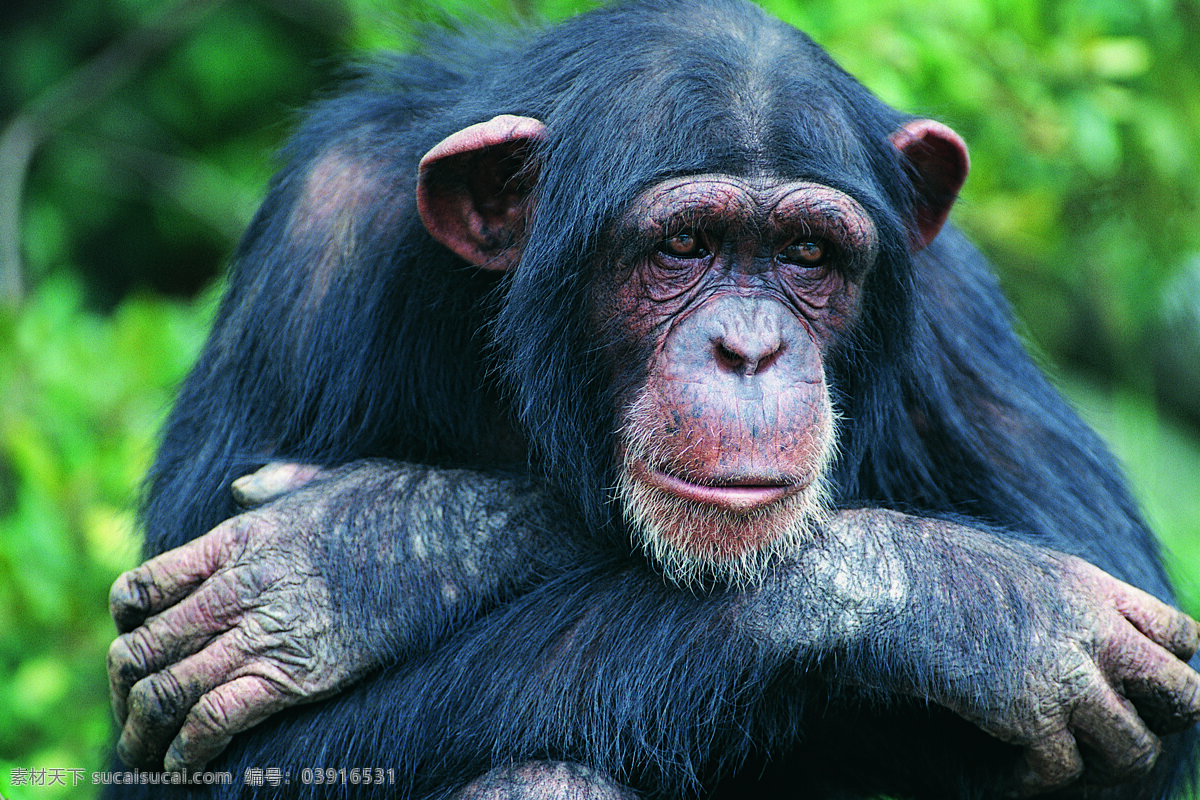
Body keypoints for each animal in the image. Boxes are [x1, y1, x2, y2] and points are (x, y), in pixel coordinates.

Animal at [105, 0, 1200, 796]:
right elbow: (219, 759)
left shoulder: (951, 305)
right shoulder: (319, 244)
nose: (749, 348)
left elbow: (1134, 723)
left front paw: (362, 548)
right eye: (685, 244)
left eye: (808, 254)